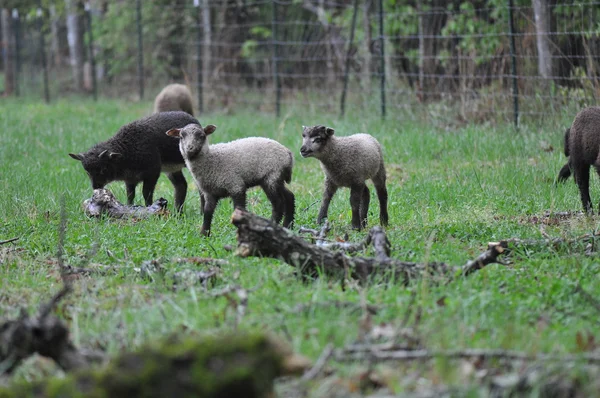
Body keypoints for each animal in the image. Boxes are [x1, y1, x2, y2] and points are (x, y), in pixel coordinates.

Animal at [68, 111, 199, 211]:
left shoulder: (152, 172)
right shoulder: (130, 179)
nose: (96, 187)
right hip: (172, 169)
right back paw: (178, 212)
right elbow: (130, 195)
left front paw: (150, 209)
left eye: (103, 169)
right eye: (87, 172)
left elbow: (146, 193)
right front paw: (129, 208)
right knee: (181, 186)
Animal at [165, 123, 296, 236]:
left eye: (201, 136)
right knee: (289, 197)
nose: (190, 148)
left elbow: (238, 210)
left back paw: (272, 225)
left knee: (278, 203)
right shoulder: (210, 193)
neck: (211, 160)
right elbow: (207, 213)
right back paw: (288, 226)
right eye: (181, 136)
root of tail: (288, 153)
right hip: (274, 179)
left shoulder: (236, 185)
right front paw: (204, 234)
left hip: (271, 176)